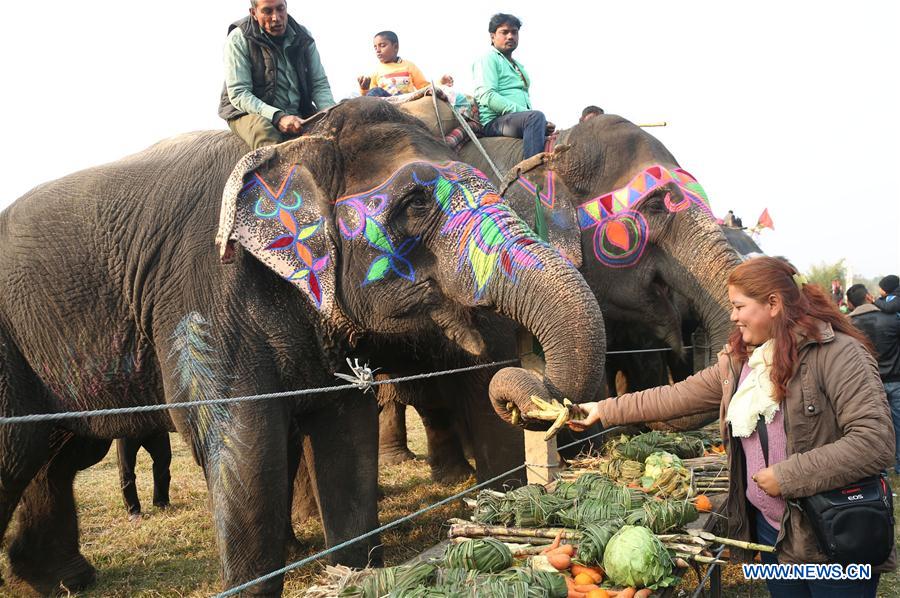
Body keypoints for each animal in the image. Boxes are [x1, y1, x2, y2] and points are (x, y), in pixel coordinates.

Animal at [0, 98, 608, 596]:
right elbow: (238, 437)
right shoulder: (203, 291)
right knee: (19, 450)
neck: (305, 139)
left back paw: (60, 580)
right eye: (415, 203)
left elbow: (346, 431)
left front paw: (355, 574)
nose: (521, 394)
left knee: (55, 455)